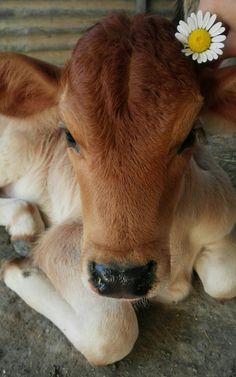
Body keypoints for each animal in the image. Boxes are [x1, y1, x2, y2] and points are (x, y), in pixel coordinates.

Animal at [0, 11, 236, 364]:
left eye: (189, 137)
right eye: (69, 135)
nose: (123, 277)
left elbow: (225, 281)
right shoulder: (66, 242)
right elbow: (110, 335)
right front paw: (19, 269)